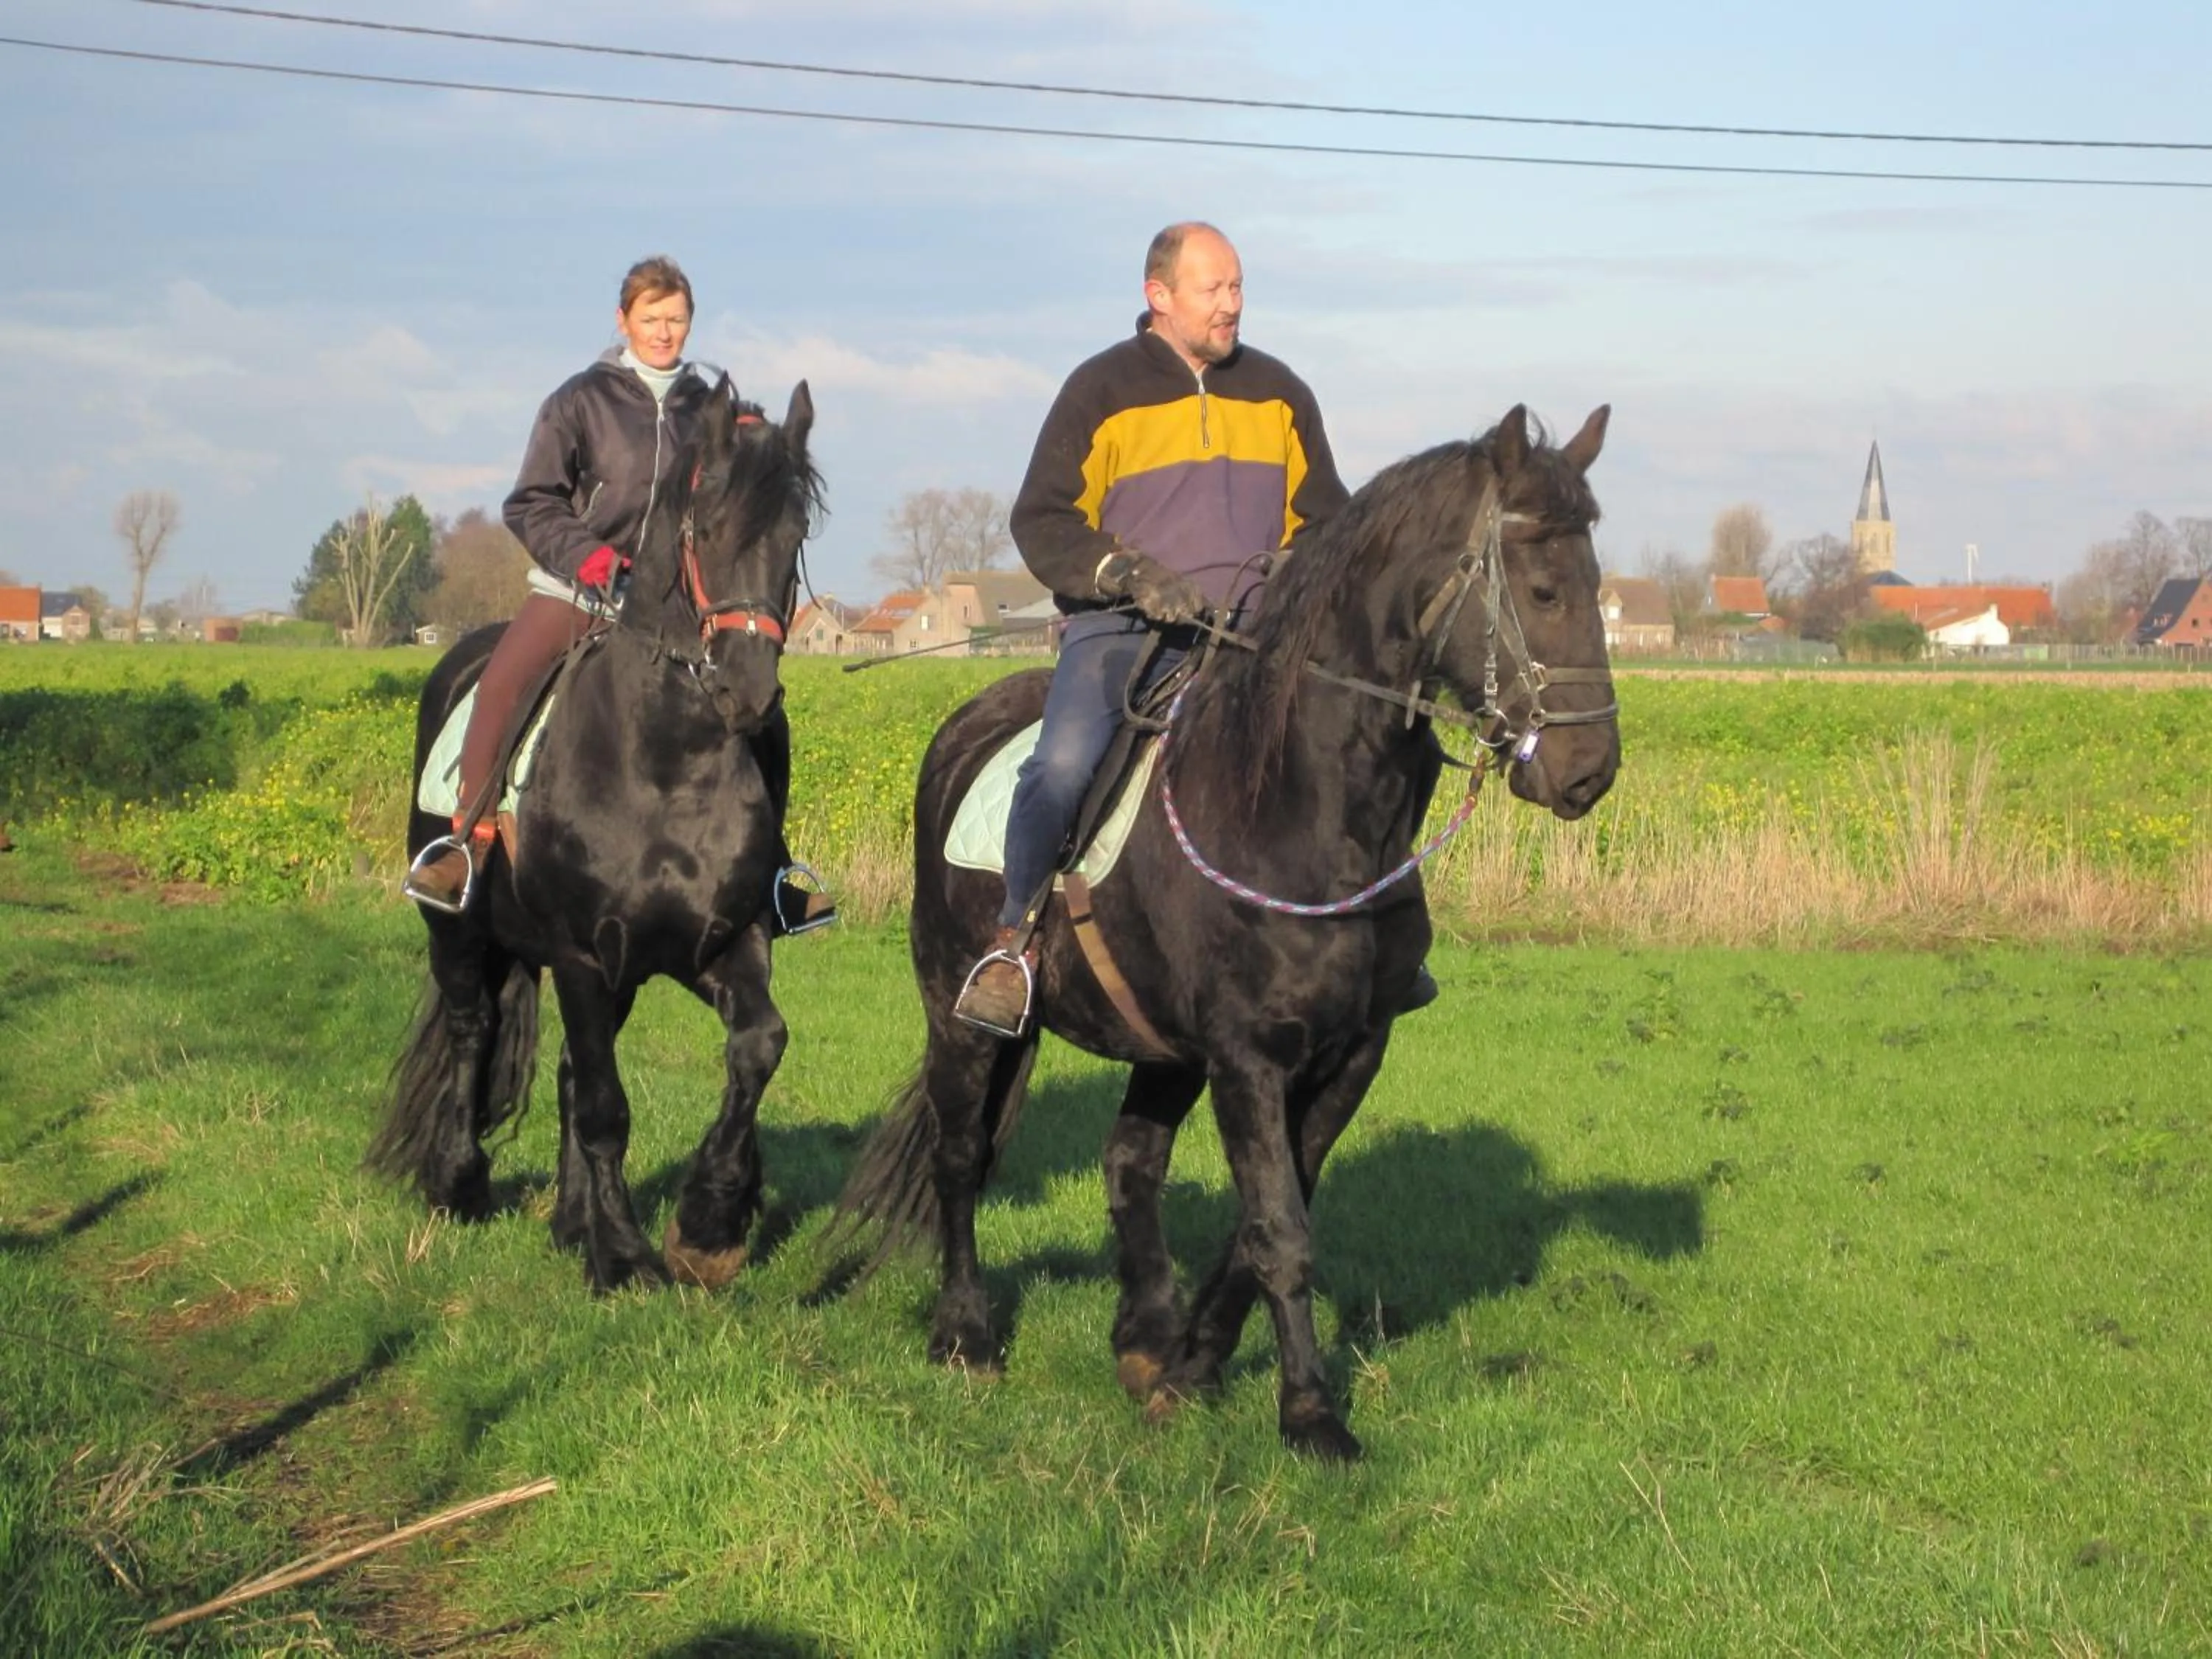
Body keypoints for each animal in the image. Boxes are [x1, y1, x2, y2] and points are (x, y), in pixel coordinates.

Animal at [368, 379, 823, 1295]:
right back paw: (458, 1182)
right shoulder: (581, 955)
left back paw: (571, 1218)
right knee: (474, 1033)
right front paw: (623, 1256)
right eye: (706, 529)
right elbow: (606, 1107)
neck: (665, 764)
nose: (748, 692)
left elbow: (758, 1046)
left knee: (573, 1071)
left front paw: (709, 1221)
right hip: (458, 933)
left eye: (794, 537)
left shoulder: (721, 943)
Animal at [833, 403, 1619, 1460]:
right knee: (964, 1157)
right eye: (1540, 587)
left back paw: (1143, 1336)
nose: (1588, 770)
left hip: (1161, 1047)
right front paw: (1313, 1416)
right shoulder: (1250, 1057)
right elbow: (1281, 1233)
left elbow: (1264, 1224)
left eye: (1597, 583)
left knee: (1129, 1163)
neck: (1299, 808)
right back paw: (965, 1334)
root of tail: (966, 726)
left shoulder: (1349, 1054)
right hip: (961, 1017)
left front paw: (1193, 1366)